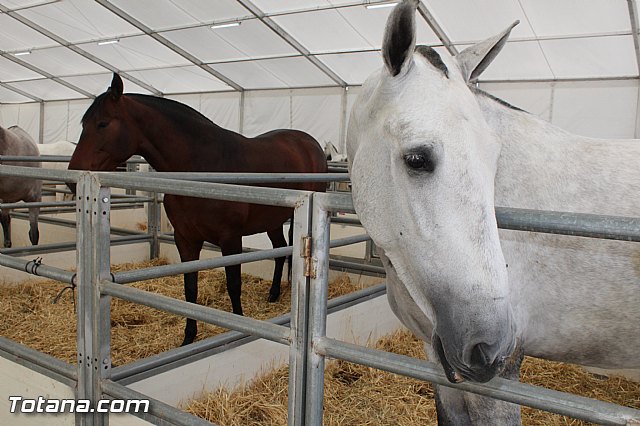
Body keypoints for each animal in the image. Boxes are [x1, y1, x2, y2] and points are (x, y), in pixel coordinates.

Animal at [68, 73, 327, 346]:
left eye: (102, 124)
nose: (72, 178)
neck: (202, 167)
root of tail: (309, 143)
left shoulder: (230, 239)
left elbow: (233, 283)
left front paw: (238, 325)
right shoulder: (186, 239)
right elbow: (189, 287)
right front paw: (188, 337)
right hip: (273, 221)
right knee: (279, 250)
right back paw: (274, 294)